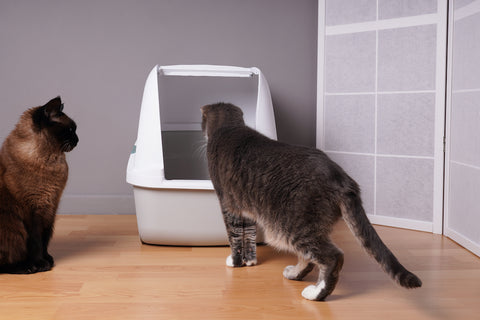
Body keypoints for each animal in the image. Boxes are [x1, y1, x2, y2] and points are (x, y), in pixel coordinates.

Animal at [201, 103, 422, 302]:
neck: (229, 128)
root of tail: (342, 178)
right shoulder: (245, 209)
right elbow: (248, 235)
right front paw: (250, 261)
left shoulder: (227, 204)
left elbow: (235, 235)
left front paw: (235, 261)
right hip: (307, 226)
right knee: (307, 257)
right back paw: (294, 274)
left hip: (292, 225)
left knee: (332, 257)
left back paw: (316, 293)